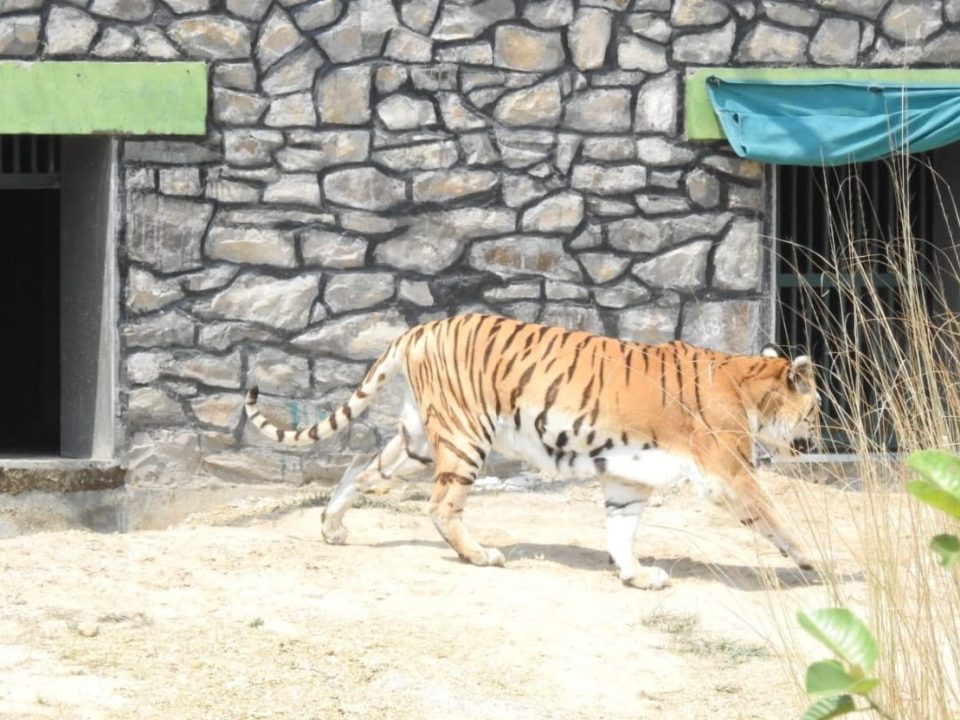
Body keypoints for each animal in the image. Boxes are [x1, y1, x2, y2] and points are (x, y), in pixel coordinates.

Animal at [244, 313, 819, 589]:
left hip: (419, 441)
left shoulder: (628, 477)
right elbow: (776, 514)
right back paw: (480, 555)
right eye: (814, 410)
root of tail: (420, 328)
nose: (816, 439)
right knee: (441, 506)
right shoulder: (729, 469)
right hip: (464, 436)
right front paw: (817, 561)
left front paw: (636, 577)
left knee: (361, 471)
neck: (750, 384)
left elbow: (622, 532)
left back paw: (333, 527)